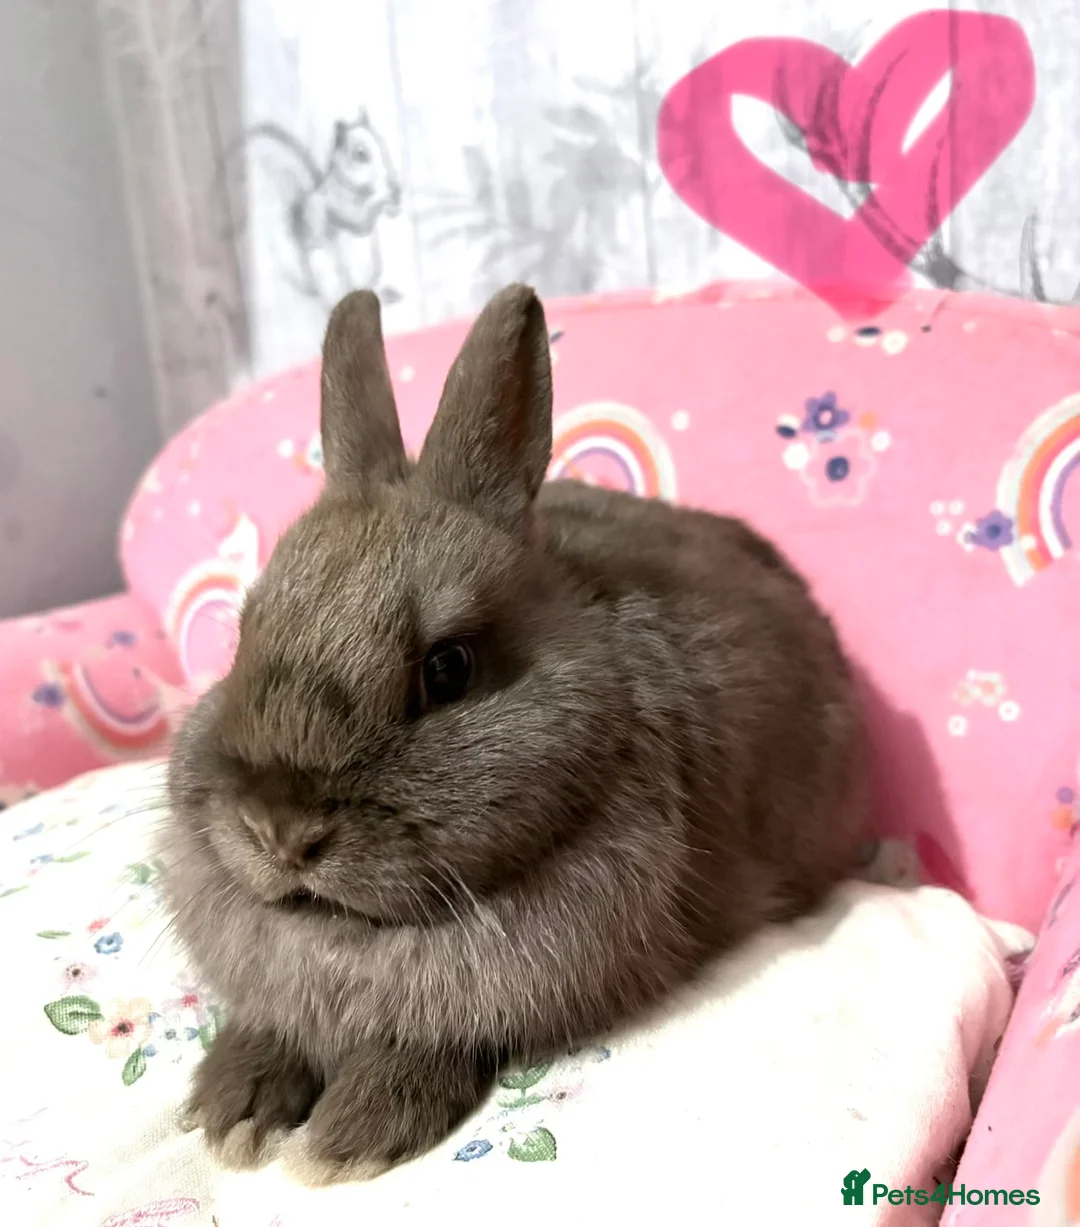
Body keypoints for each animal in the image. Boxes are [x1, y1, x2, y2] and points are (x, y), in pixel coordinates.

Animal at [161, 283, 867, 1186]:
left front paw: (345, 1138)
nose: (280, 832)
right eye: (243, 635)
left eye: (448, 667)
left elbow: (431, 1048)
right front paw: (234, 1110)